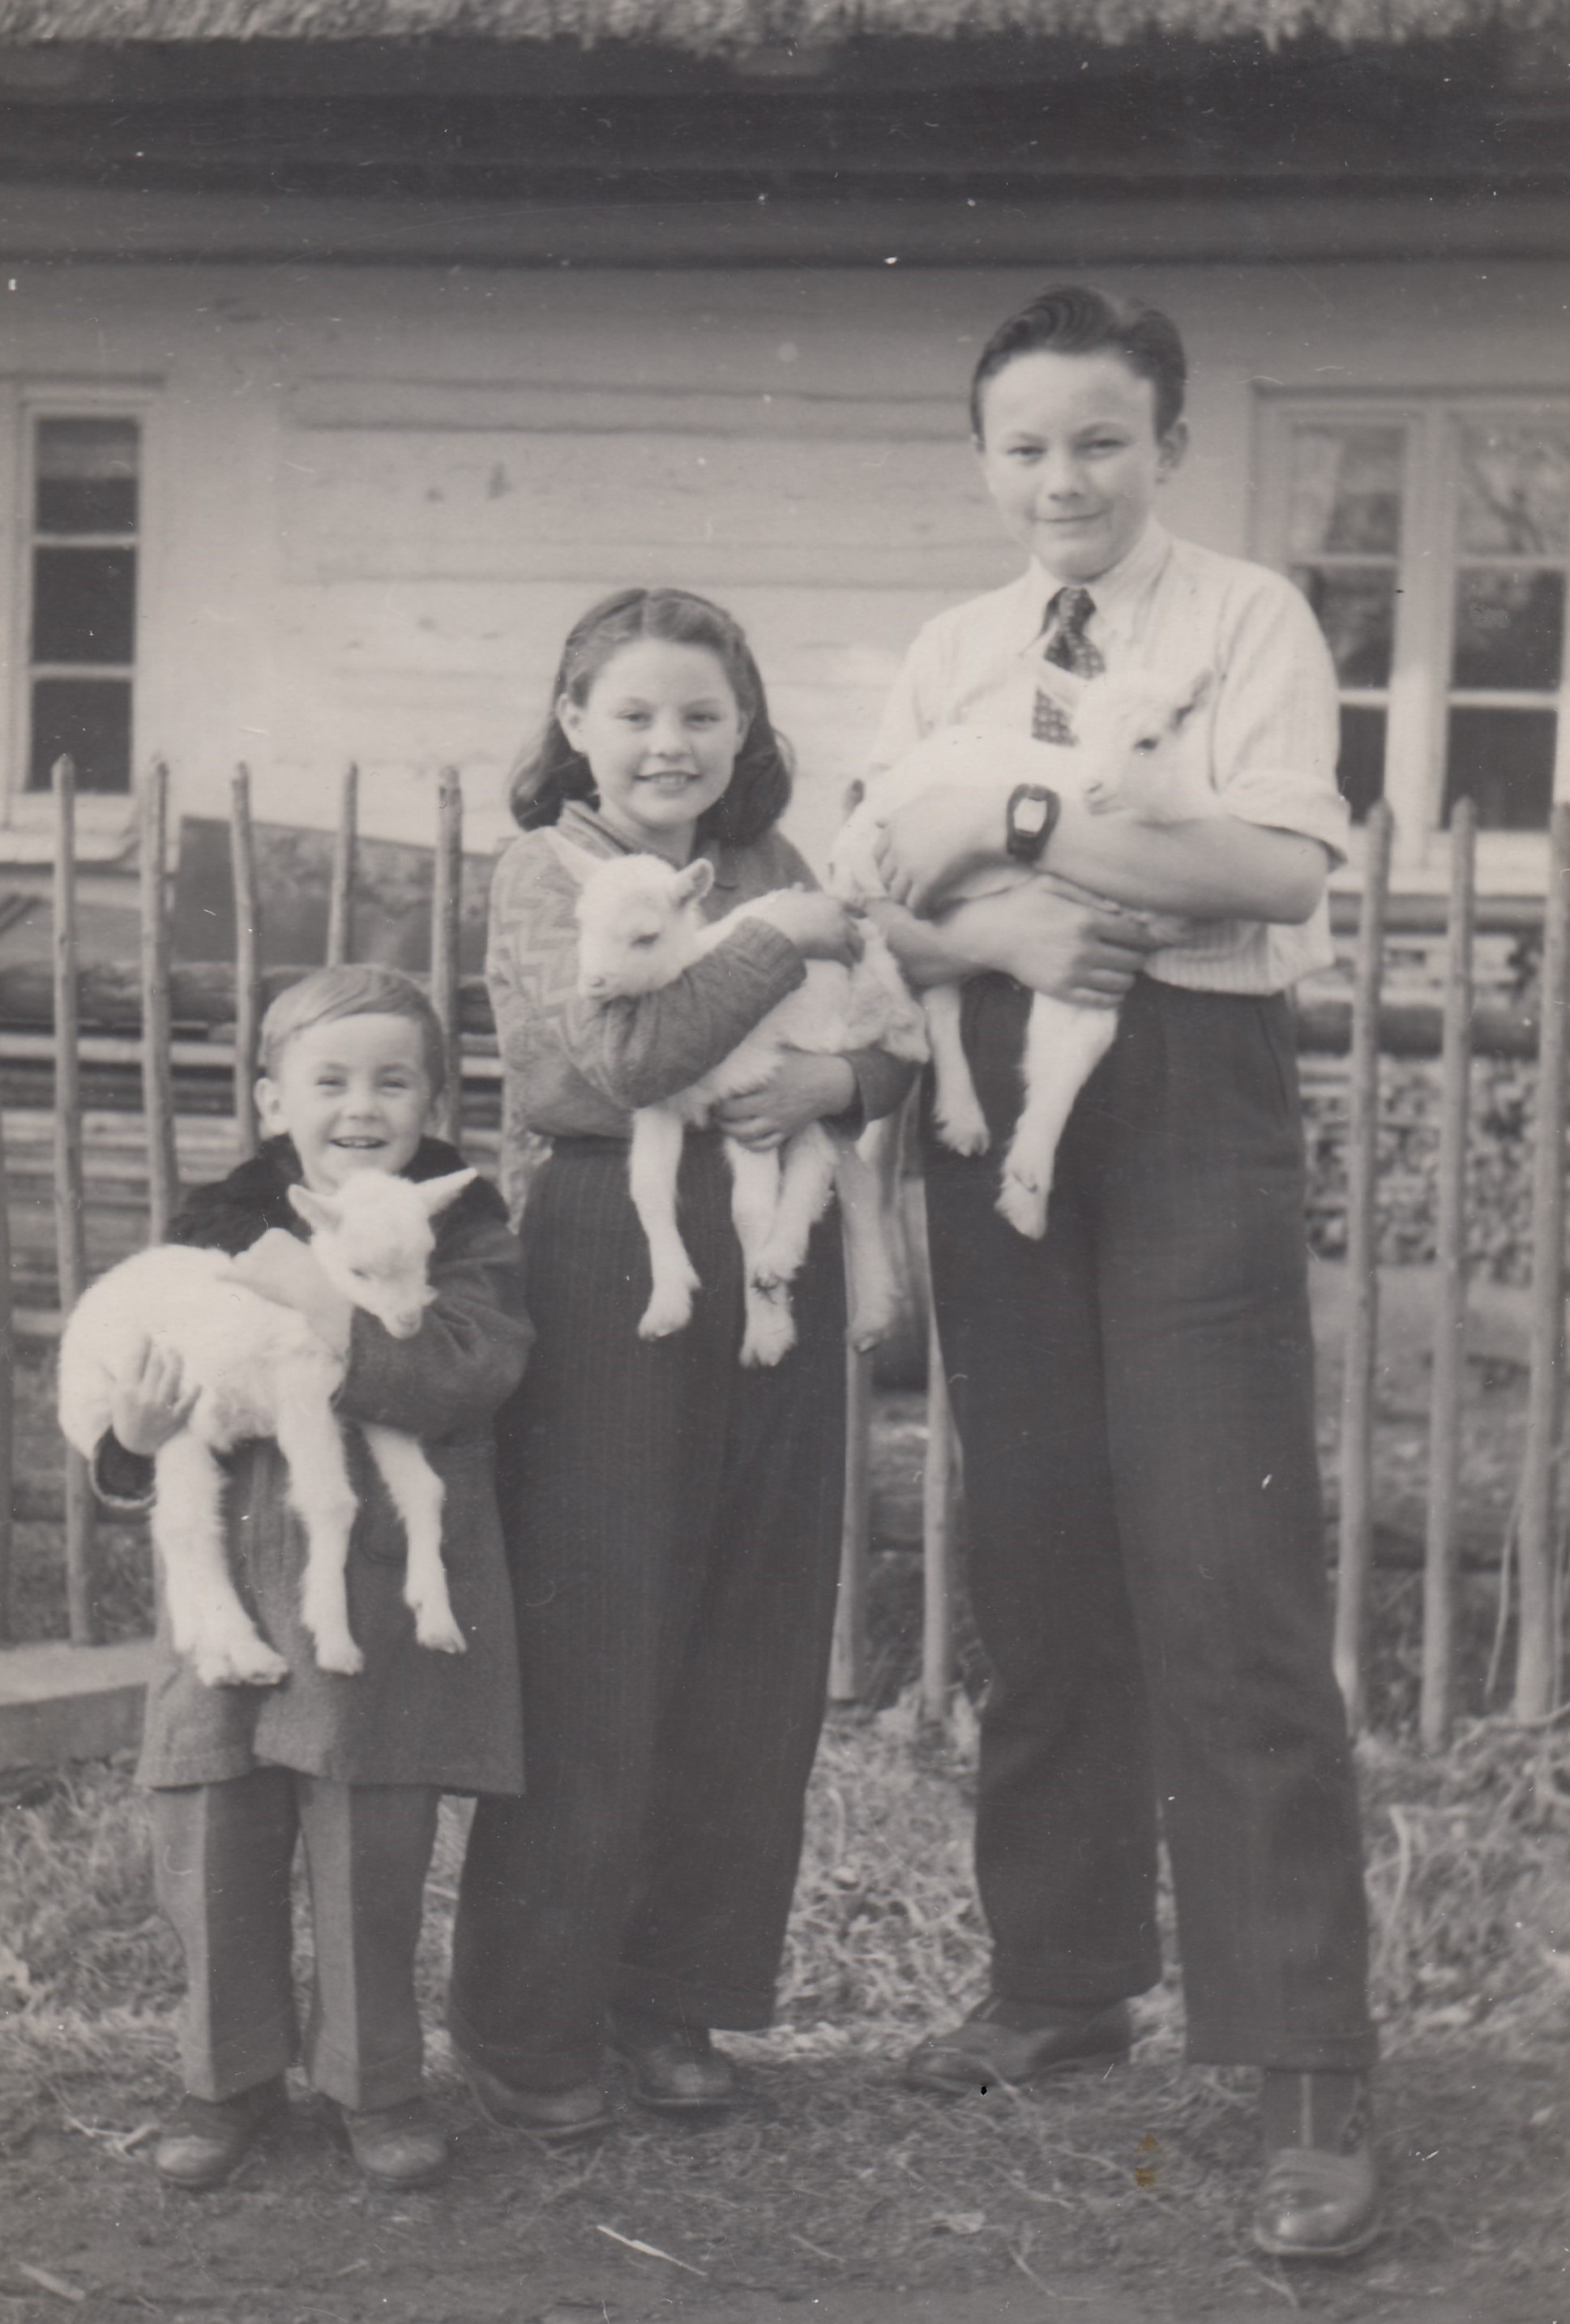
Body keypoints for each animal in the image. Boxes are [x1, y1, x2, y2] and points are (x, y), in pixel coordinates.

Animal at [57, 1167, 477, 1688]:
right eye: (359, 1272)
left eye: (424, 1257)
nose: (407, 1322)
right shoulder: (302, 1394)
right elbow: (332, 1503)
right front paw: (333, 1639)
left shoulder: (376, 1402)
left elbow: (424, 1488)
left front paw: (436, 1615)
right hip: (158, 1408)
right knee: (190, 1528)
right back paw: (249, 1654)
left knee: (170, 1526)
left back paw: (211, 1655)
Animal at [572, 850, 928, 1367]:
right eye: (582, 925)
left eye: (647, 936)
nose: (592, 983)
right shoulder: (660, 1103)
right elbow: (649, 1191)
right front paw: (667, 1305)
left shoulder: (751, 1093)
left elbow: (750, 1210)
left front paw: (768, 1334)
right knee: (853, 1175)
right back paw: (872, 1317)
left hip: (823, 1056)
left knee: (816, 1160)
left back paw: (777, 1259)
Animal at [830, 663, 1215, 1239]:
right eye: (1078, 736)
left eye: (1148, 742)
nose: (1089, 786)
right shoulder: (1070, 934)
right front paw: (1031, 1181)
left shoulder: (1102, 954)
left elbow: (1075, 1049)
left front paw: (1025, 1192)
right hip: (880, 876)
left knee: (938, 998)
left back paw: (957, 1119)